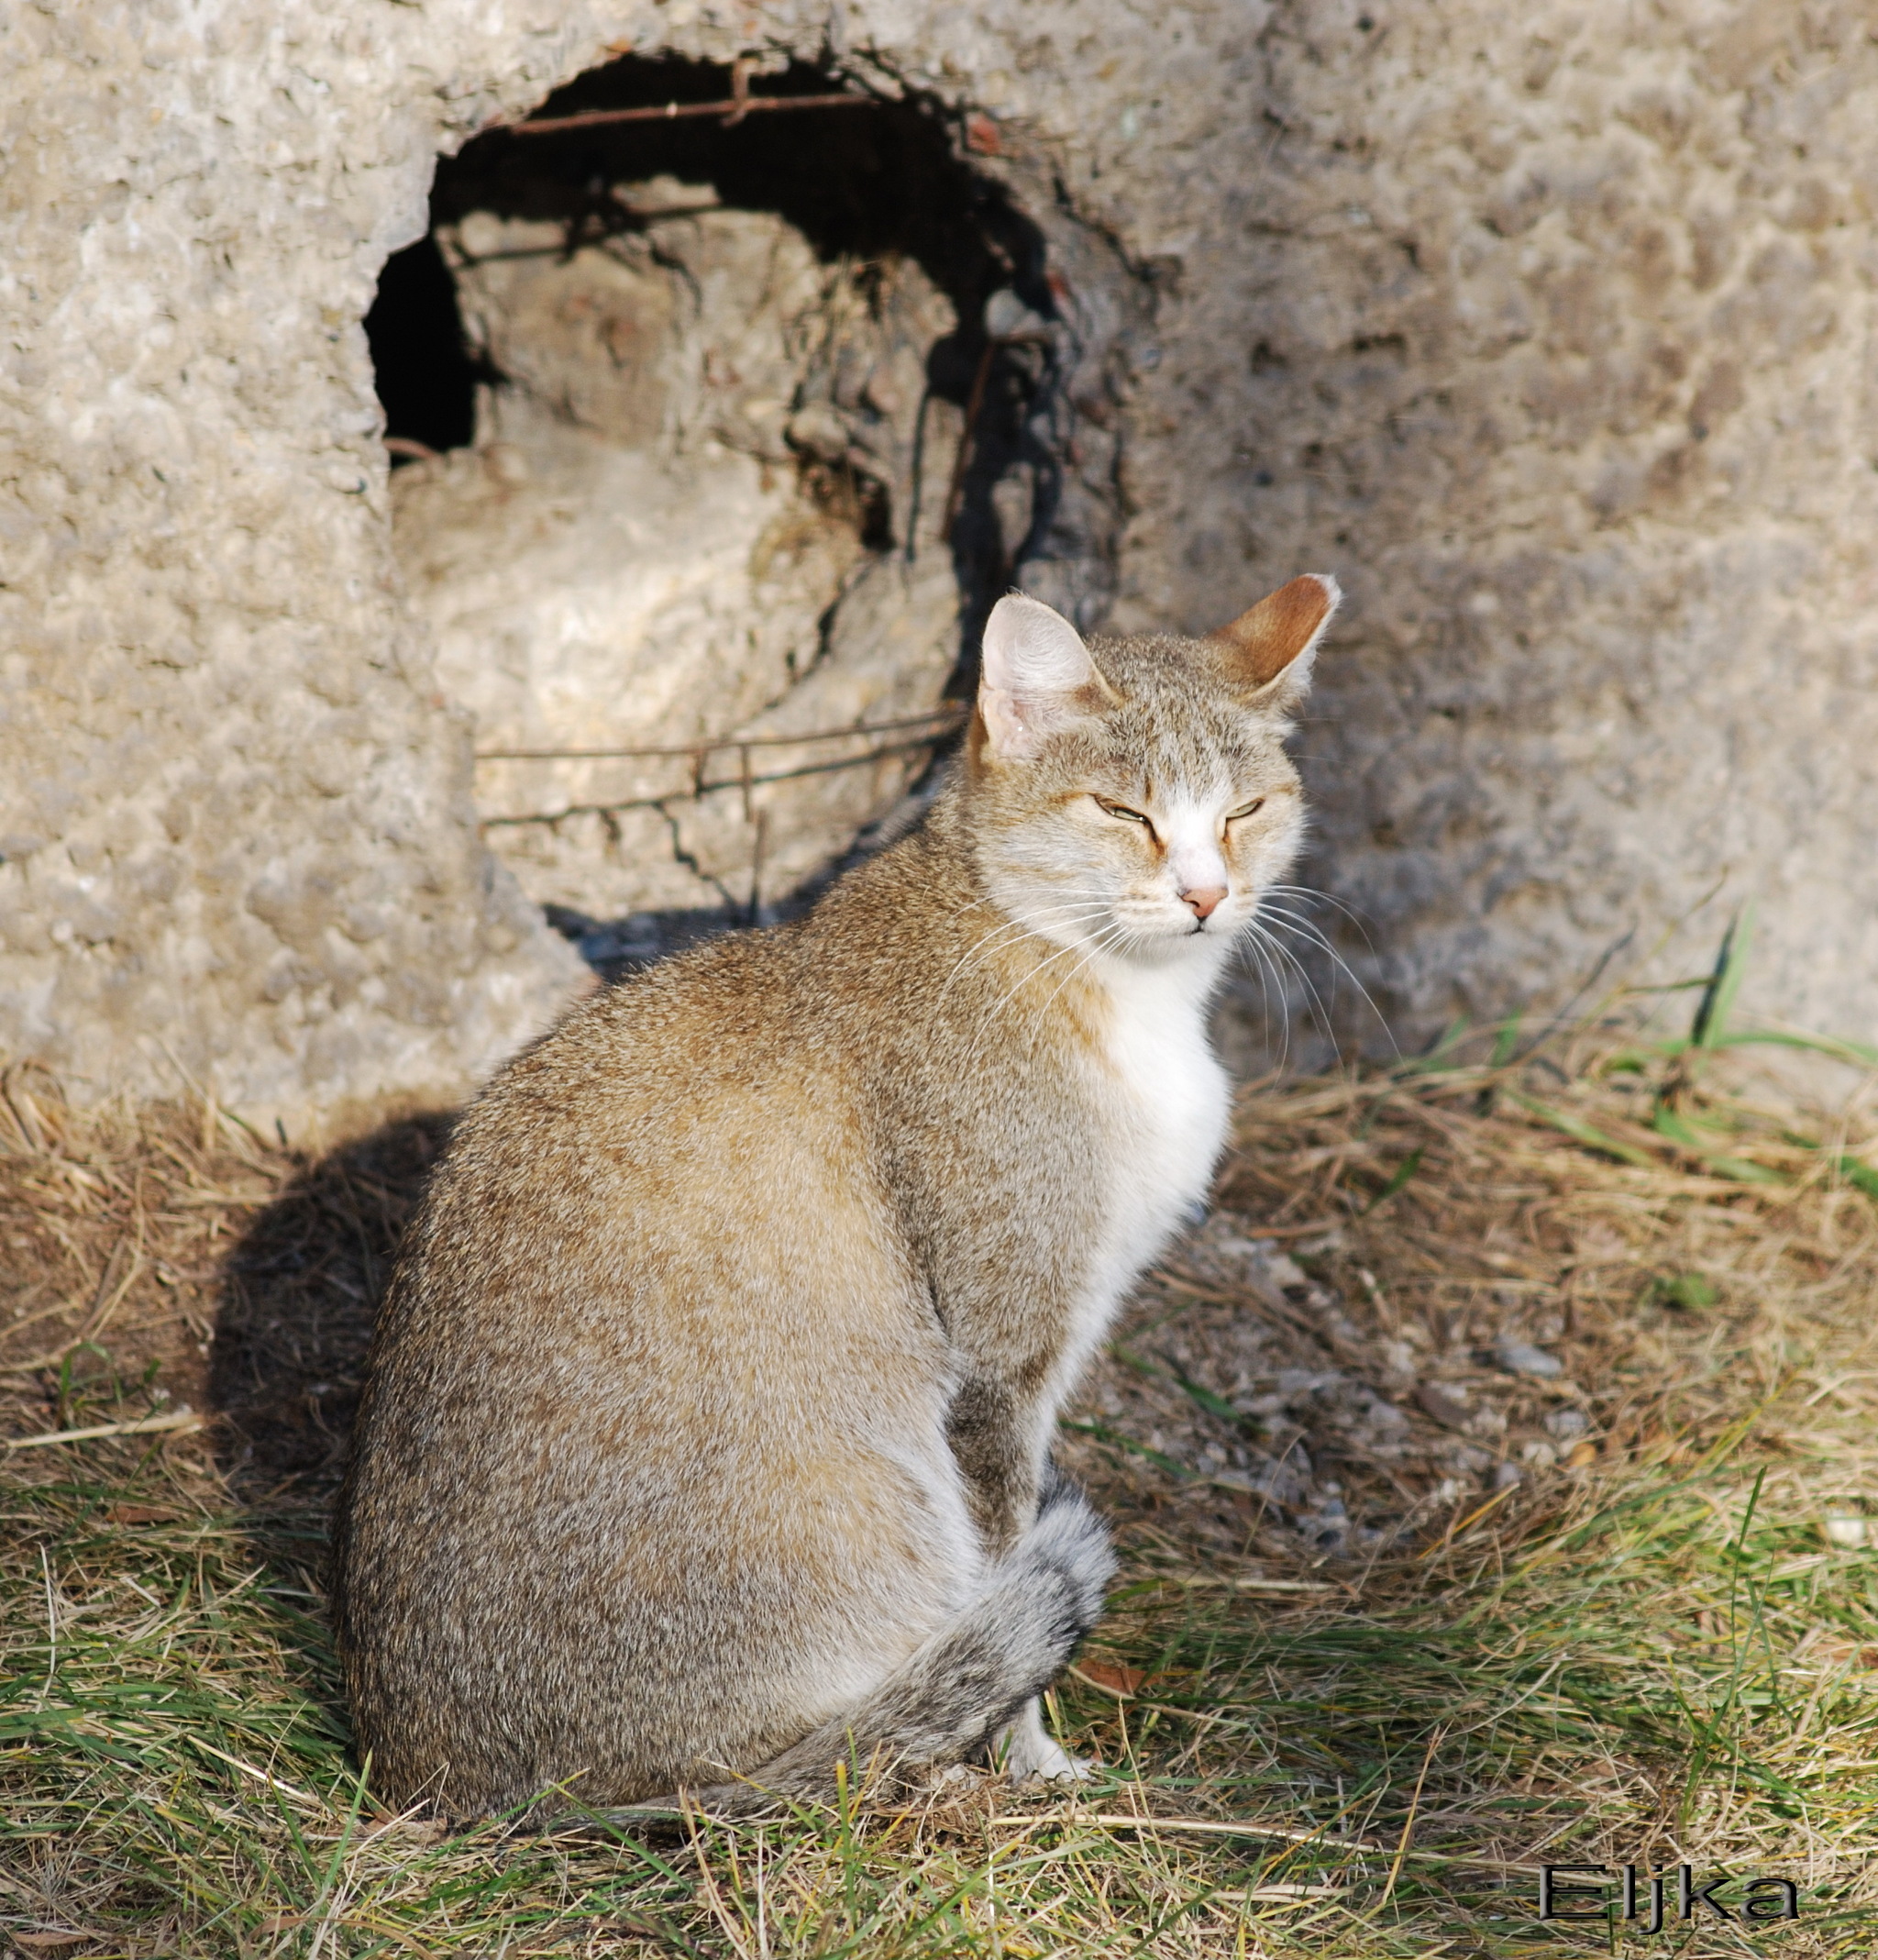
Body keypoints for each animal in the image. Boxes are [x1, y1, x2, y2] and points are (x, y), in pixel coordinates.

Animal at [335, 572, 1341, 1819]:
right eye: (1123, 810)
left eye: (1245, 809)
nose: (1205, 893)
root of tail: (446, 1783)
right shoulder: (999, 1361)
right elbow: (1008, 1572)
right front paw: (1028, 1762)